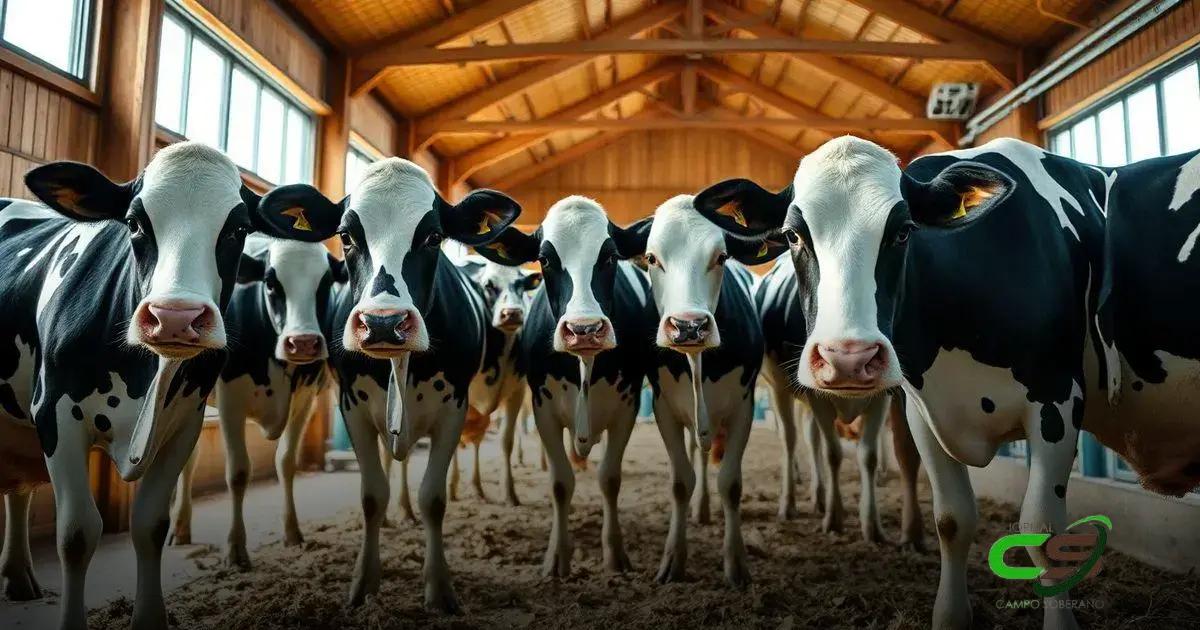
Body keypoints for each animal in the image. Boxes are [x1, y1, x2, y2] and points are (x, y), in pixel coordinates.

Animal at [168, 235, 346, 569]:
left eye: (327, 281)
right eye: (271, 283)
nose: (303, 343)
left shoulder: (305, 399)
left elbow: (286, 462)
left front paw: (292, 533)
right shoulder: (230, 400)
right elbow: (238, 473)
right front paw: (236, 549)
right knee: (187, 458)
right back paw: (179, 527)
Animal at [270, 158, 521, 612]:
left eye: (434, 236)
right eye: (347, 236)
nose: (383, 322)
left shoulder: (454, 407)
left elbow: (433, 498)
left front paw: (439, 589)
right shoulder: (351, 405)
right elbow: (372, 495)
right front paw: (363, 584)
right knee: (392, 466)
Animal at [474, 196, 656, 578]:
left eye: (610, 256)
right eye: (545, 258)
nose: (584, 329)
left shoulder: (628, 407)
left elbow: (610, 479)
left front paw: (615, 553)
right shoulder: (543, 408)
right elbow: (560, 483)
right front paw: (557, 556)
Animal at [617, 195, 777, 585]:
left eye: (721, 257)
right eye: (652, 258)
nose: (689, 326)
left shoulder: (743, 407)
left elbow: (731, 483)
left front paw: (736, 564)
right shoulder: (663, 408)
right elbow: (680, 482)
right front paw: (673, 560)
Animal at [755, 256, 924, 547]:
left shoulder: (881, 396)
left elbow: (868, 455)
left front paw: (872, 526)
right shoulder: (815, 394)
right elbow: (833, 453)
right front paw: (834, 519)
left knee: (811, 439)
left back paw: (819, 497)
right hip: (778, 387)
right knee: (789, 439)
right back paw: (789, 504)